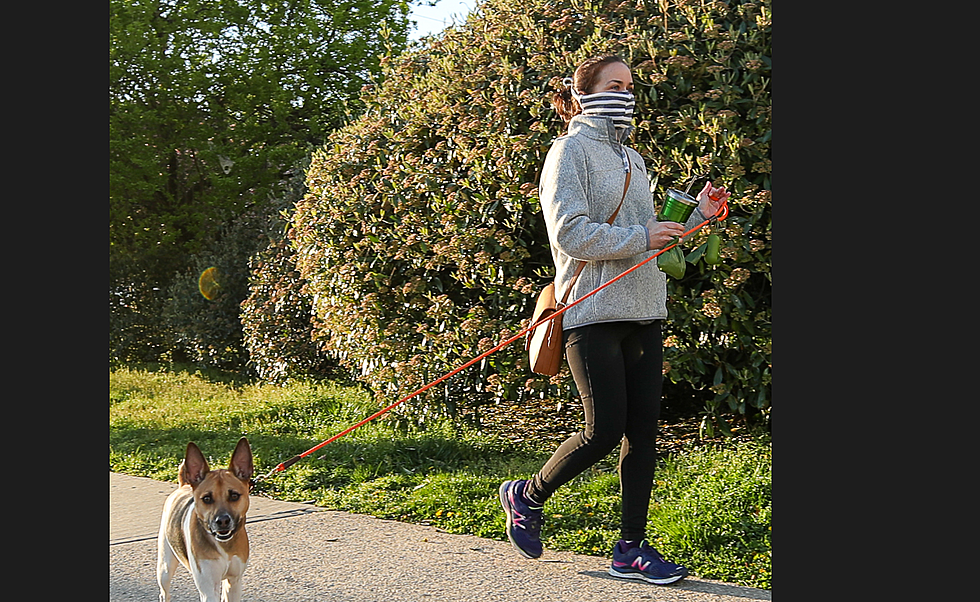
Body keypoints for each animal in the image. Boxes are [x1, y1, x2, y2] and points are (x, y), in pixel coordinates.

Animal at [156, 436, 253, 600]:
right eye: (207, 498)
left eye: (234, 496)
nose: (222, 521)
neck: (224, 545)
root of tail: (184, 485)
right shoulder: (208, 587)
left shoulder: (233, 582)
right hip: (165, 567)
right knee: (164, 592)